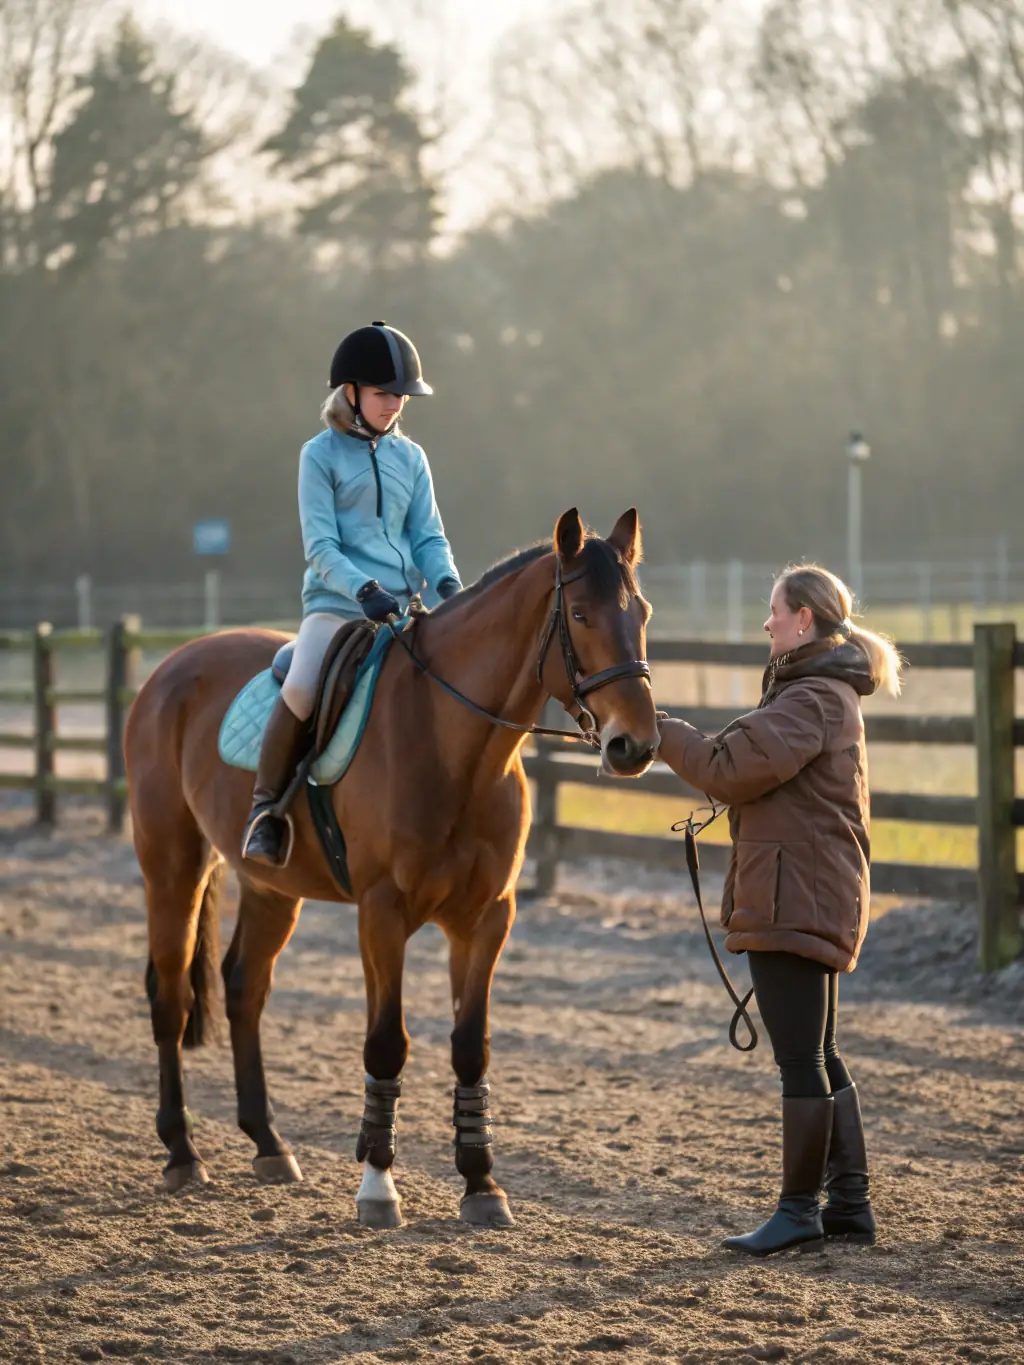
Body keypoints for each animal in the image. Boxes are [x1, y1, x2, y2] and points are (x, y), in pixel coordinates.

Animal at [125, 507, 658, 1228]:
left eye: (643, 612)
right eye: (579, 613)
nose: (637, 746)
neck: (455, 747)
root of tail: (170, 666)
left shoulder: (486, 918)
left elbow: (470, 1045)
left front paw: (481, 1183)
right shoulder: (382, 914)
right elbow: (387, 1042)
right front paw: (378, 1185)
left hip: (270, 889)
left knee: (244, 989)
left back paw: (268, 1143)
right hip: (172, 865)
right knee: (173, 996)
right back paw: (183, 1153)